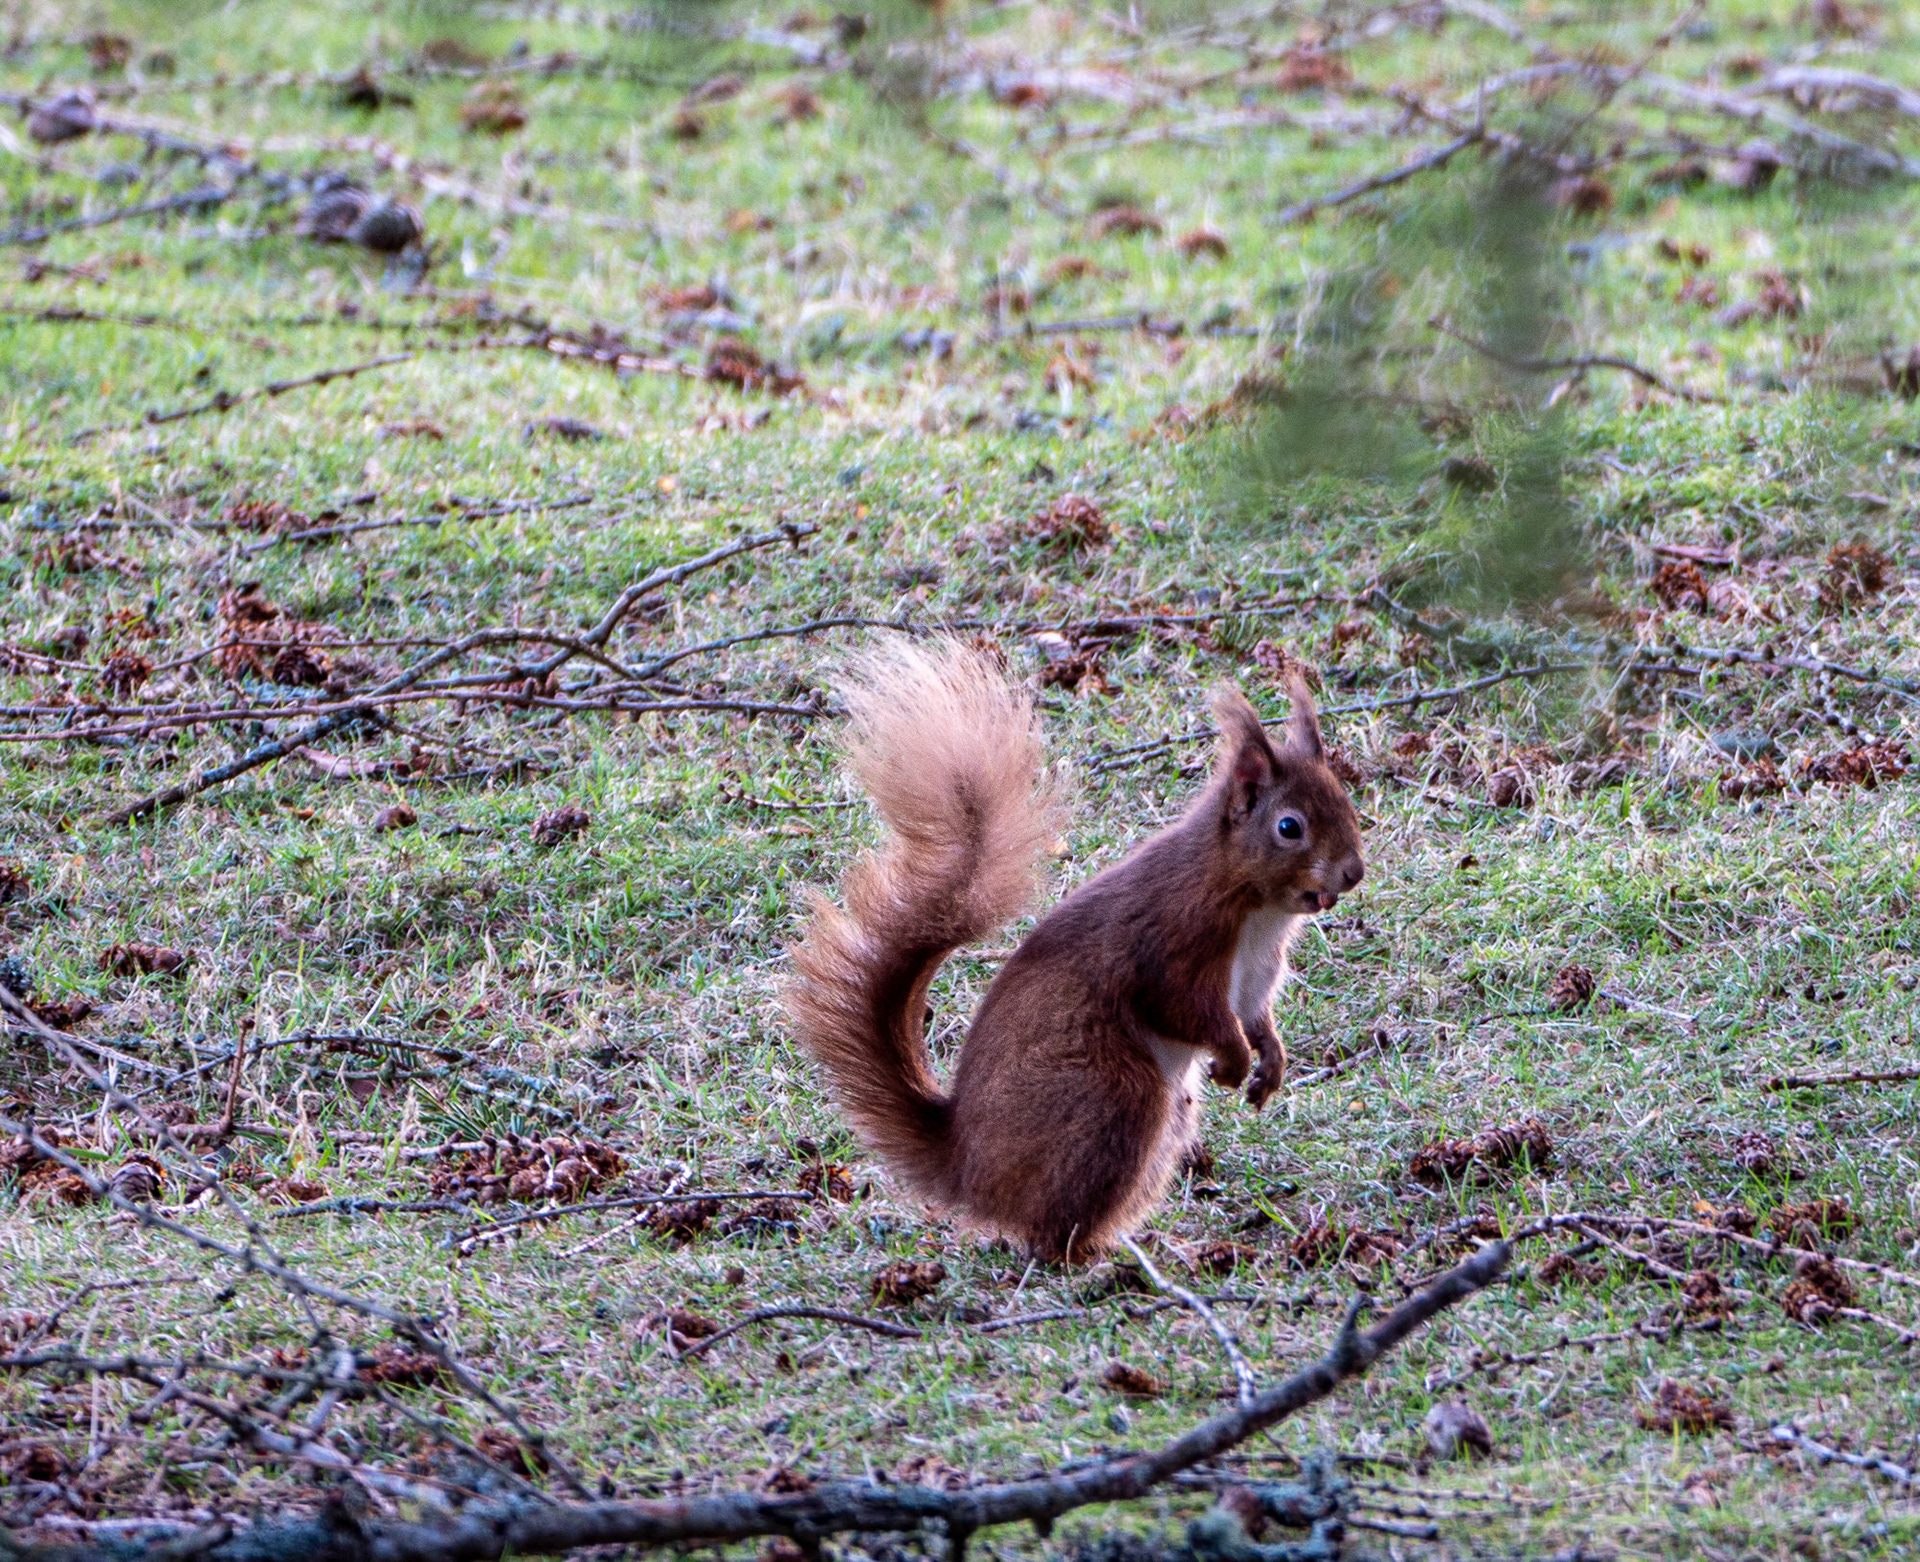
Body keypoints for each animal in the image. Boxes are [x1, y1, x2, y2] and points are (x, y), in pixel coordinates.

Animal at [786, 640, 1364, 1263]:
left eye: (1345, 800)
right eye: (1289, 827)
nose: (1353, 872)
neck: (1255, 907)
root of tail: (966, 1168)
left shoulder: (1258, 971)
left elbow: (1257, 1017)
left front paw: (1270, 1065)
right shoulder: (1174, 945)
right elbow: (1185, 1008)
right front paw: (1233, 1060)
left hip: (1164, 1119)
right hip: (1112, 1098)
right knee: (1049, 1228)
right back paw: (1090, 1258)